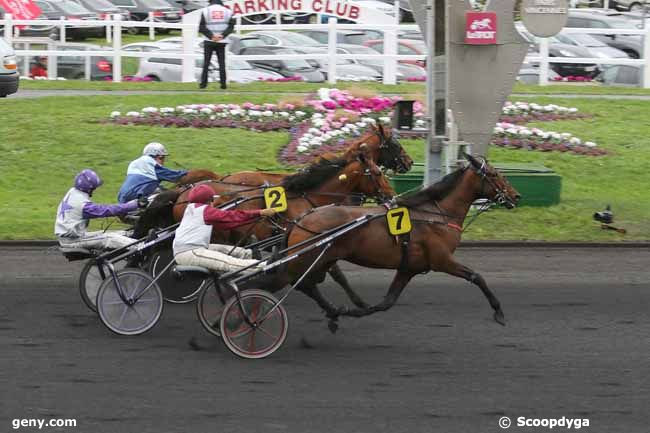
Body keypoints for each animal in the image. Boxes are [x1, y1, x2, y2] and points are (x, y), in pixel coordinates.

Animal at [284, 154, 520, 328]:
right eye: (494, 174)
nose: (516, 196)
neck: (436, 215)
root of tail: (301, 219)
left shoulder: (408, 268)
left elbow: (386, 303)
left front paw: (355, 310)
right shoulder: (442, 261)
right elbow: (477, 277)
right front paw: (498, 311)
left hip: (324, 260)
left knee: (308, 284)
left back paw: (333, 312)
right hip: (312, 259)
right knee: (303, 283)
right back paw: (330, 311)